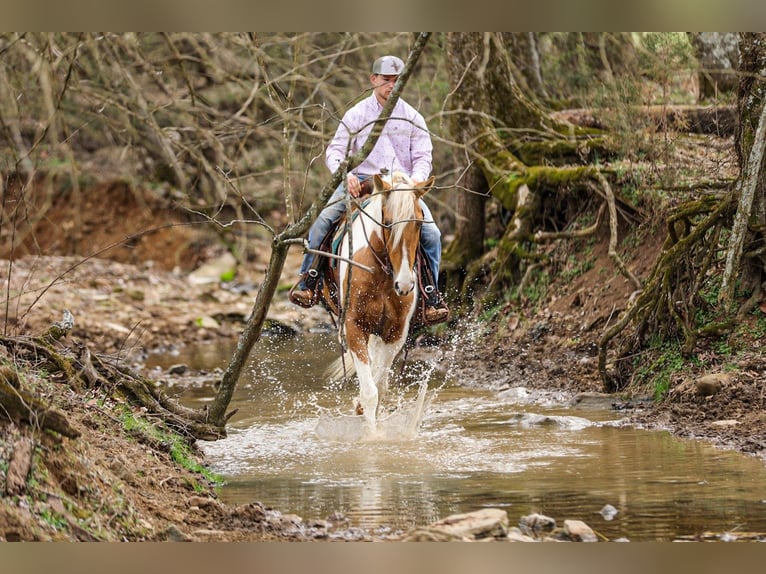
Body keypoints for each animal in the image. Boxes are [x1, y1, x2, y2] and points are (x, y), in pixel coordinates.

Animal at [325, 171, 435, 434]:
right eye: (388, 222)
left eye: (419, 223)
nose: (404, 285)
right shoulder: (354, 327)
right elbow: (370, 393)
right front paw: (372, 437)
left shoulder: (396, 332)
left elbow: (380, 386)